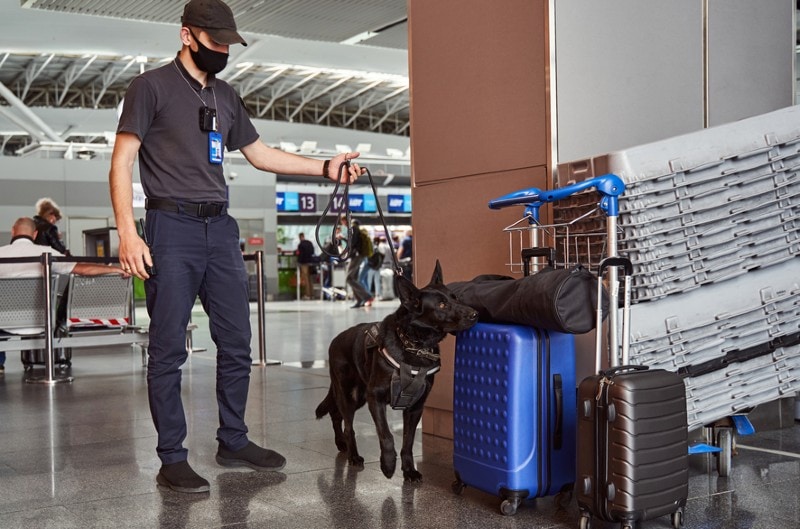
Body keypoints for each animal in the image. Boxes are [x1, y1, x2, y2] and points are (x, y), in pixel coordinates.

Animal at [316, 262, 478, 480]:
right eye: (442, 305)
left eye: (456, 298)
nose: (475, 314)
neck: (414, 344)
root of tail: (335, 340)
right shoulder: (375, 399)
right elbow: (387, 435)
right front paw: (388, 463)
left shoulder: (415, 406)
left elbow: (408, 441)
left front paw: (409, 469)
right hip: (350, 395)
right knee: (347, 425)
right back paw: (353, 454)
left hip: (358, 398)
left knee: (336, 414)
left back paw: (341, 443)